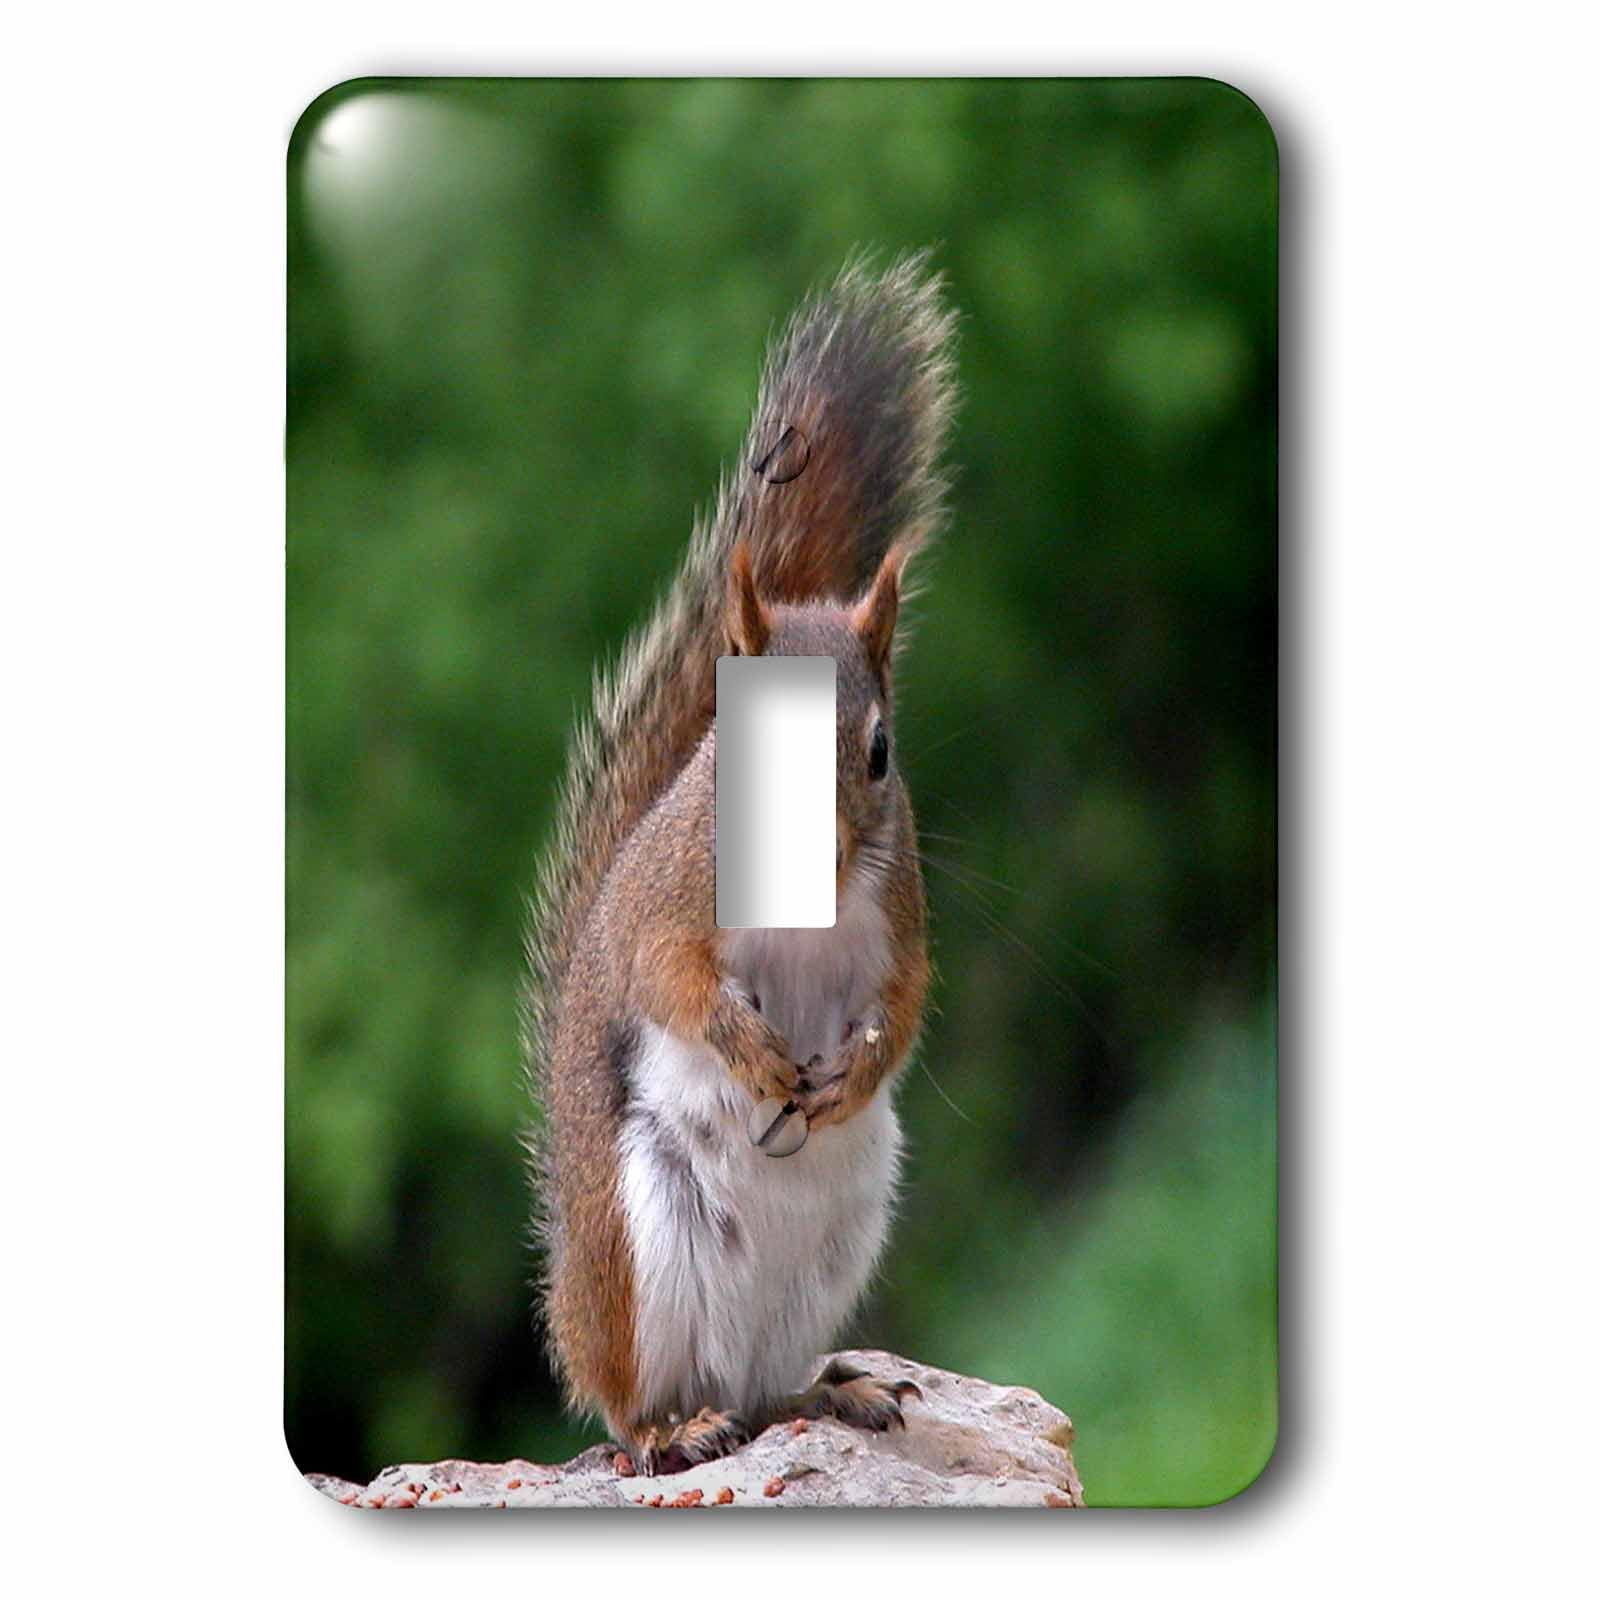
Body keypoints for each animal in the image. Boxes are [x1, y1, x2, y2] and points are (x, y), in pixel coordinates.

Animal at [525, 255, 957, 1474]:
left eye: (881, 750)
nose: (823, 851)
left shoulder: (899, 914)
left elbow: (908, 1000)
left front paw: (853, 1067)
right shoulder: (663, 911)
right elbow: (666, 978)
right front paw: (752, 1048)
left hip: (840, 1236)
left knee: (768, 1389)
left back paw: (829, 1392)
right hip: (642, 1250)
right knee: (637, 1410)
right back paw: (676, 1427)